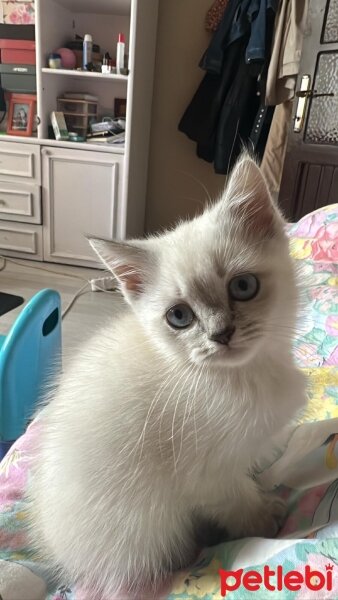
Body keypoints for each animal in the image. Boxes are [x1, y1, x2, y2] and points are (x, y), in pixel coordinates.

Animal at [26, 157, 306, 596]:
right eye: (179, 317)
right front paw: (266, 518)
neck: (244, 375)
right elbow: (238, 500)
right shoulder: (207, 474)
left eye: (243, 286)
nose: (221, 334)